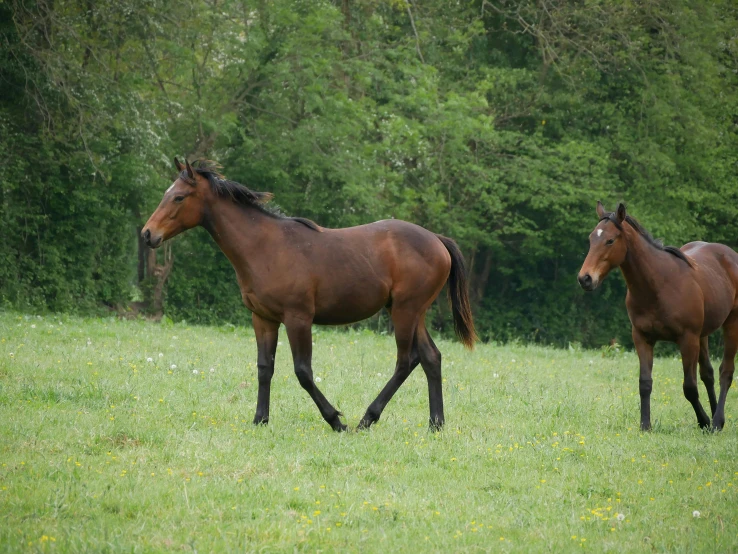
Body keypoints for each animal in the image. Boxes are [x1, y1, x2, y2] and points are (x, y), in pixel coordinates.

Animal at [142, 157, 478, 430]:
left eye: (179, 197)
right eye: (166, 194)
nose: (147, 234)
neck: (265, 247)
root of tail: (437, 239)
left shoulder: (298, 318)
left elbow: (303, 372)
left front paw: (335, 420)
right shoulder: (262, 318)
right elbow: (264, 368)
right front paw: (260, 420)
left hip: (405, 312)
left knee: (406, 361)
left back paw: (367, 419)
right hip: (411, 311)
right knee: (430, 357)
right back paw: (436, 424)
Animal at [576, 203, 736, 432]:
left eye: (610, 240)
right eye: (591, 239)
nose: (585, 278)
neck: (659, 284)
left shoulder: (687, 340)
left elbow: (689, 387)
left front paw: (703, 421)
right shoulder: (642, 338)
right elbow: (645, 383)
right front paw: (645, 425)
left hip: (731, 324)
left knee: (726, 372)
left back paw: (716, 421)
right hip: (703, 335)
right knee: (708, 373)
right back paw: (716, 417)